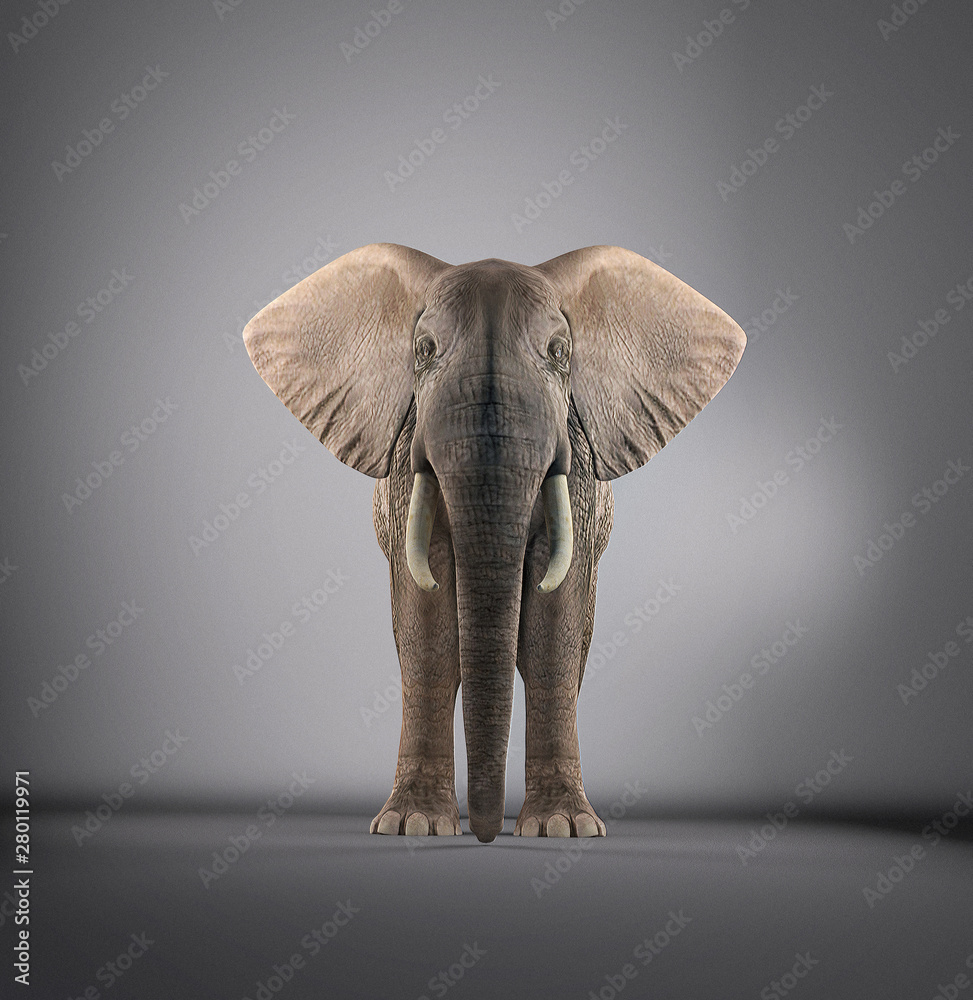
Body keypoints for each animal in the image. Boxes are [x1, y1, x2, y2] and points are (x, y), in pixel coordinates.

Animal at [243, 243, 746, 843]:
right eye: (423, 351)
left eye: (559, 353)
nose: (484, 833)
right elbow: (428, 619)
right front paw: (412, 826)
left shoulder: (575, 469)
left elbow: (555, 625)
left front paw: (564, 828)